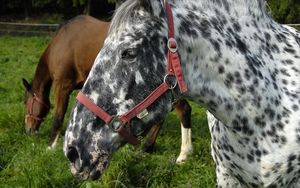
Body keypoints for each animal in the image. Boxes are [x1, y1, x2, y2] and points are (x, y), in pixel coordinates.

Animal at [22, 14, 192, 162]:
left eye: (26, 102)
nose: (29, 130)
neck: (62, 41)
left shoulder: (62, 86)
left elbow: (58, 117)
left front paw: (51, 146)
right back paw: (148, 147)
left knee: (183, 110)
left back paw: (182, 155)